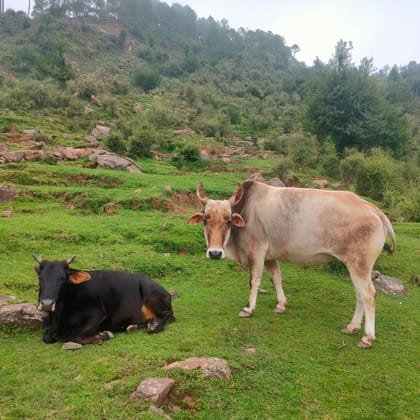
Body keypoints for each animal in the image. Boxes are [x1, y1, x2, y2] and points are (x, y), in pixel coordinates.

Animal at [33, 254, 176, 346]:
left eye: (63, 279)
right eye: (40, 278)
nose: (46, 304)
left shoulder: (98, 315)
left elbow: (75, 337)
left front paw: (105, 335)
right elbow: (47, 337)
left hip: (152, 295)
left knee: (169, 316)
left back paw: (153, 326)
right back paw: (133, 326)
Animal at [189, 180, 396, 348]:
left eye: (228, 220)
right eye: (205, 220)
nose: (215, 253)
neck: (246, 210)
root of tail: (373, 208)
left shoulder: (256, 252)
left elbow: (254, 281)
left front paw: (248, 309)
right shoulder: (269, 257)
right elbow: (276, 278)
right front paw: (281, 305)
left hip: (360, 266)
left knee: (368, 295)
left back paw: (367, 337)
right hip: (355, 267)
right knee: (360, 295)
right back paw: (352, 327)